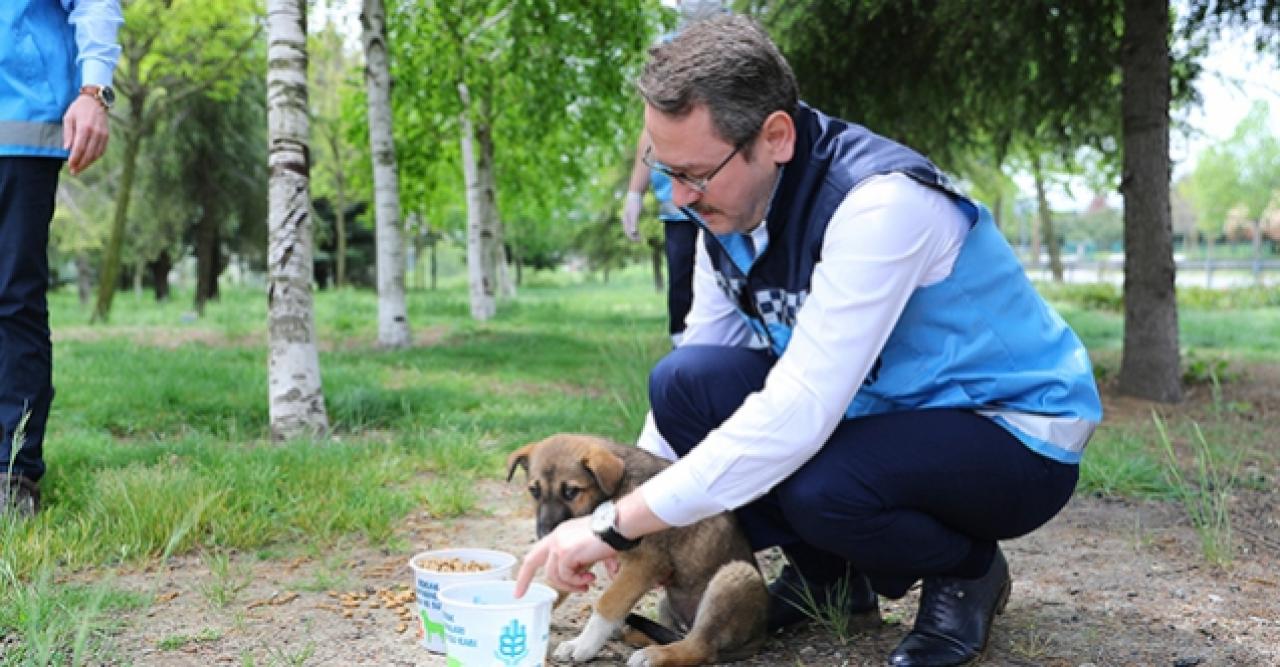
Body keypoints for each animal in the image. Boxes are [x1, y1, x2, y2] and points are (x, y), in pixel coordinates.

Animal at [506, 430, 768, 660]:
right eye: (534, 491)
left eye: (571, 491)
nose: (545, 535)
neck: (617, 490)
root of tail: (758, 637)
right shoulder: (582, 545)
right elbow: (555, 587)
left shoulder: (646, 563)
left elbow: (608, 602)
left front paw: (583, 644)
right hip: (668, 605)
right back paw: (631, 634)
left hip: (735, 575)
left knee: (699, 647)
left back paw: (654, 655)